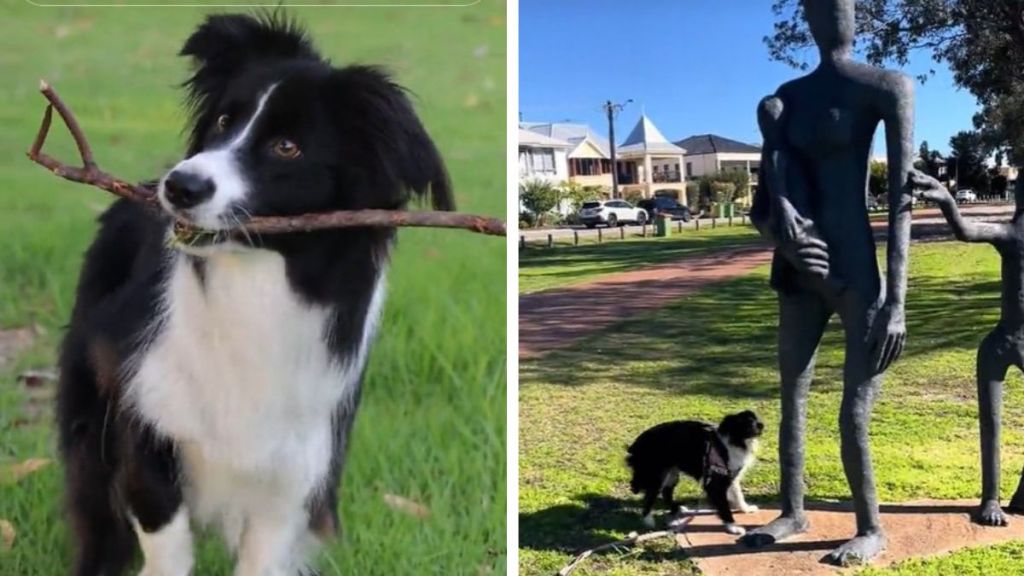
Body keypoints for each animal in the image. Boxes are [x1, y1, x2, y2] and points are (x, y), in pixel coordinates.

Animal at [56, 13, 452, 573]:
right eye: (224, 120)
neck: (256, 283)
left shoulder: (293, 474)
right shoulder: (144, 417)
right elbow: (165, 538)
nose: (179, 186)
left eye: (287, 147)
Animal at [622, 407, 761, 532]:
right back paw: (648, 521)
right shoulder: (715, 483)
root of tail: (636, 444)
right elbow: (724, 506)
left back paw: (676, 509)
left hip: (671, 474)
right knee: (649, 498)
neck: (734, 441)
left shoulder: (730, 476)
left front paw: (746, 509)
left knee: (666, 492)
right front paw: (732, 527)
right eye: (748, 423)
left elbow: (738, 495)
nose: (761, 425)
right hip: (656, 476)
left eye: (755, 419)